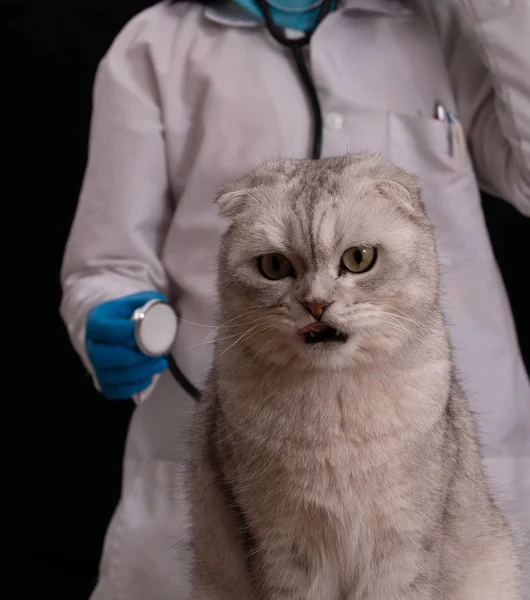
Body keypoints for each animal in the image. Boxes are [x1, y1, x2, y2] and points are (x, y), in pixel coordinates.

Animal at [187, 154, 520, 600]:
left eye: (359, 258)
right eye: (274, 266)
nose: (315, 305)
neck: (335, 405)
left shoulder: (403, 546)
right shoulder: (283, 550)